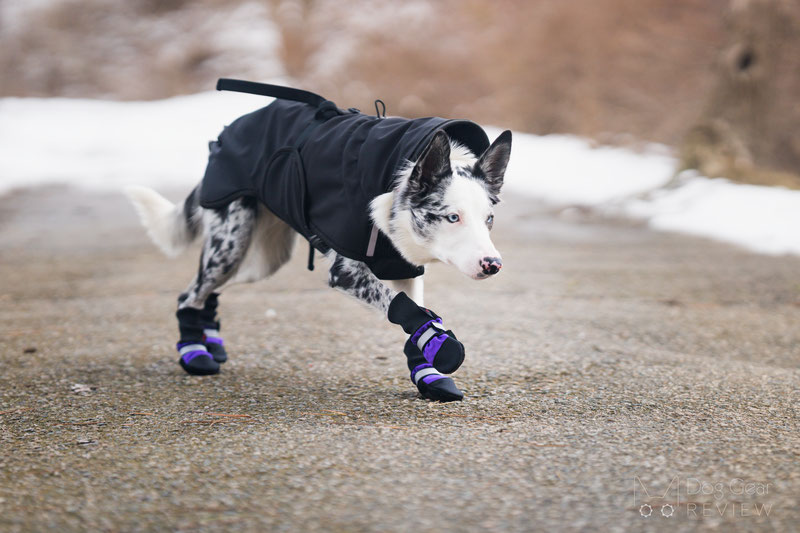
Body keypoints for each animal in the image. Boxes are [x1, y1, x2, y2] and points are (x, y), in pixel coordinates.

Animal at [126, 81, 512, 402]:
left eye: (489, 219)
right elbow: (405, 309)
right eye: (452, 217)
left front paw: (428, 371)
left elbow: (418, 313)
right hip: (231, 245)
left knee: (208, 290)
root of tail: (227, 133)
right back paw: (194, 350)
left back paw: (211, 341)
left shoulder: (405, 267)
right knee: (190, 293)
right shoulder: (346, 273)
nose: (493, 265)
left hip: (261, 259)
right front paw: (442, 348)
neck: (393, 186)